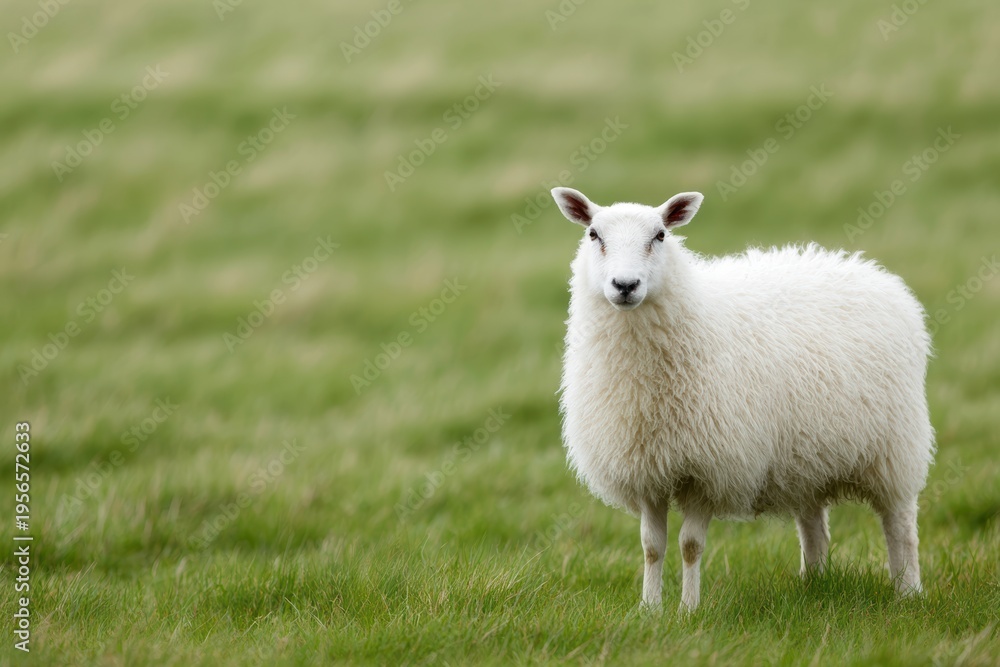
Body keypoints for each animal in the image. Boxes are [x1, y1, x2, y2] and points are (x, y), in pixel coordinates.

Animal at [550, 187, 934, 611]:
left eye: (661, 235)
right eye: (593, 235)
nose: (625, 285)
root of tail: (870, 271)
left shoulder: (709, 468)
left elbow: (690, 545)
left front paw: (688, 610)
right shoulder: (649, 468)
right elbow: (651, 547)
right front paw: (649, 610)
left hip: (894, 449)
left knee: (901, 526)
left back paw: (908, 591)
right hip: (807, 456)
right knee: (814, 528)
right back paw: (814, 586)